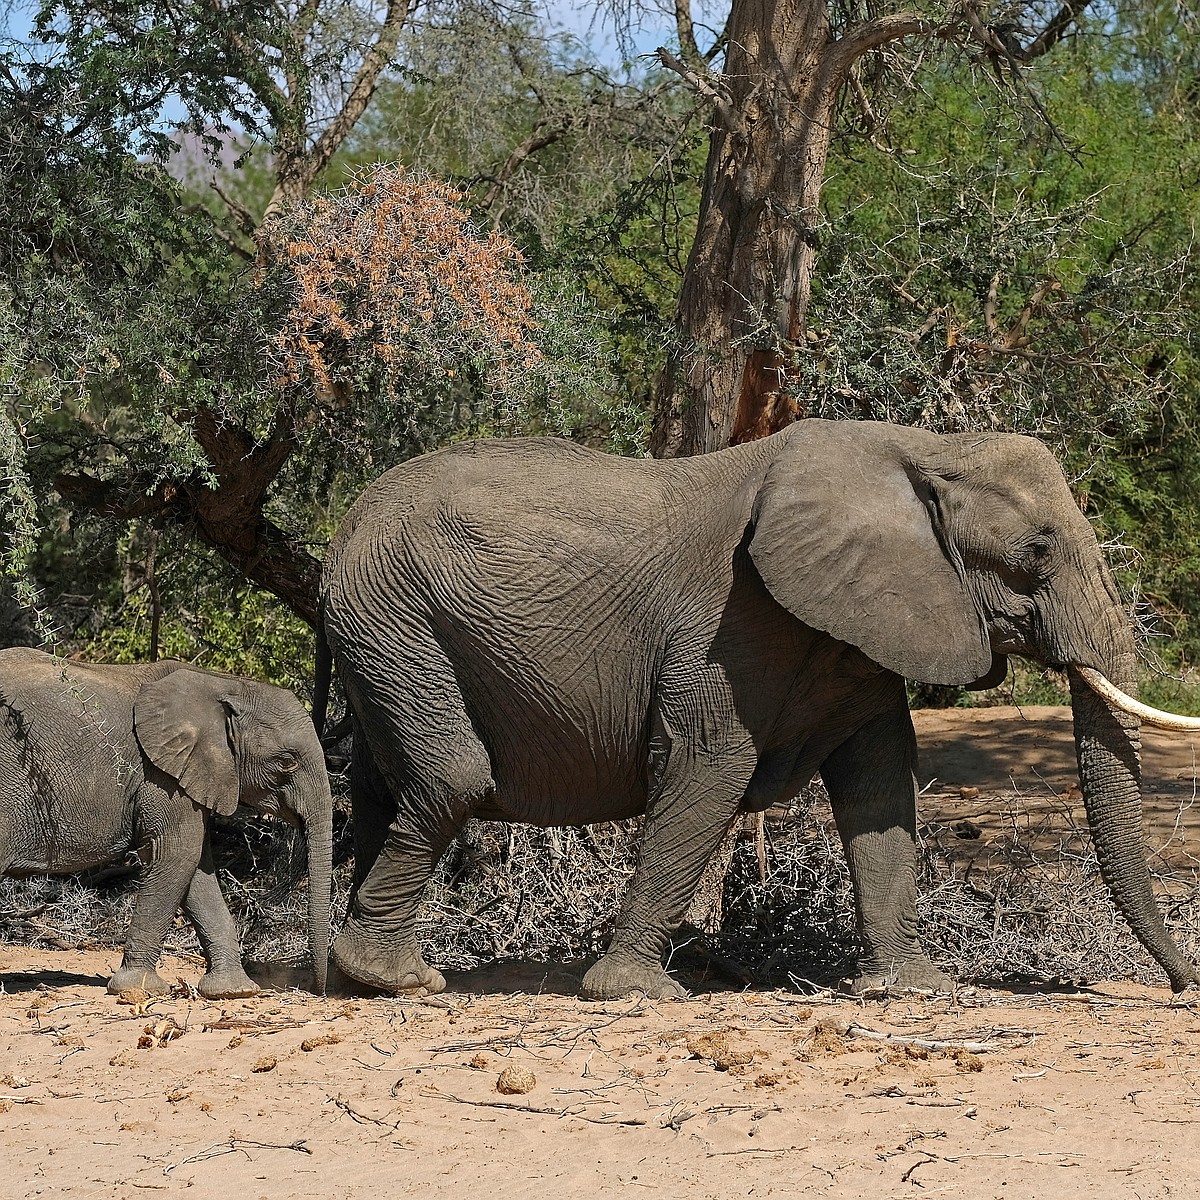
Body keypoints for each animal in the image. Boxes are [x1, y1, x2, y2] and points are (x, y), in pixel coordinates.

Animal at [1, 652, 333, 998]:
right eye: (287, 762)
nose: (317, 990)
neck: (222, 683)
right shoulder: (161, 776)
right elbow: (176, 854)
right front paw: (138, 989)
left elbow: (196, 868)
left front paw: (234, 991)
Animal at [316, 417, 1200, 998]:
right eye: (1037, 552)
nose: (1181, 985)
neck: (925, 447)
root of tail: (343, 527)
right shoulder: (731, 624)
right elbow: (706, 768)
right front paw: (635, 994)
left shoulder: (860, 624)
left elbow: (881, 783)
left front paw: (913, 989)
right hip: (394, 613)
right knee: (455, 776)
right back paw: (398, 979)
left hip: (386, 631)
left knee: (382, 786)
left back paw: (355, 975)